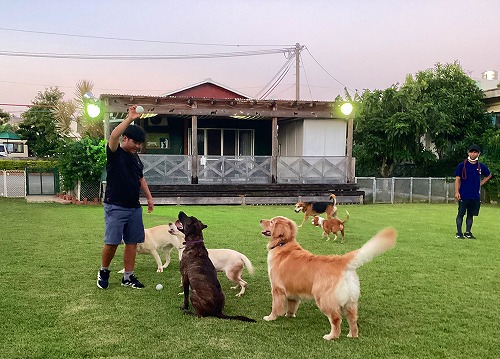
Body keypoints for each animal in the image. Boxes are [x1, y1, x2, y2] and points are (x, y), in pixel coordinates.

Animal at [260, 217, 396, 340]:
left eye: (272, 221)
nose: (260, 220)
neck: (283, 243)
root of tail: (341, 260)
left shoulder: (277, 288)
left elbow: (276, 306)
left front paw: (271, 317)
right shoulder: (293, 290)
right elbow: (292, 304)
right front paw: (289, 315)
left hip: (324, 299)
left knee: (336, 319)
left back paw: (331, 336)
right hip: (351, 302)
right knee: (353, 320)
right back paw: (352, 335)